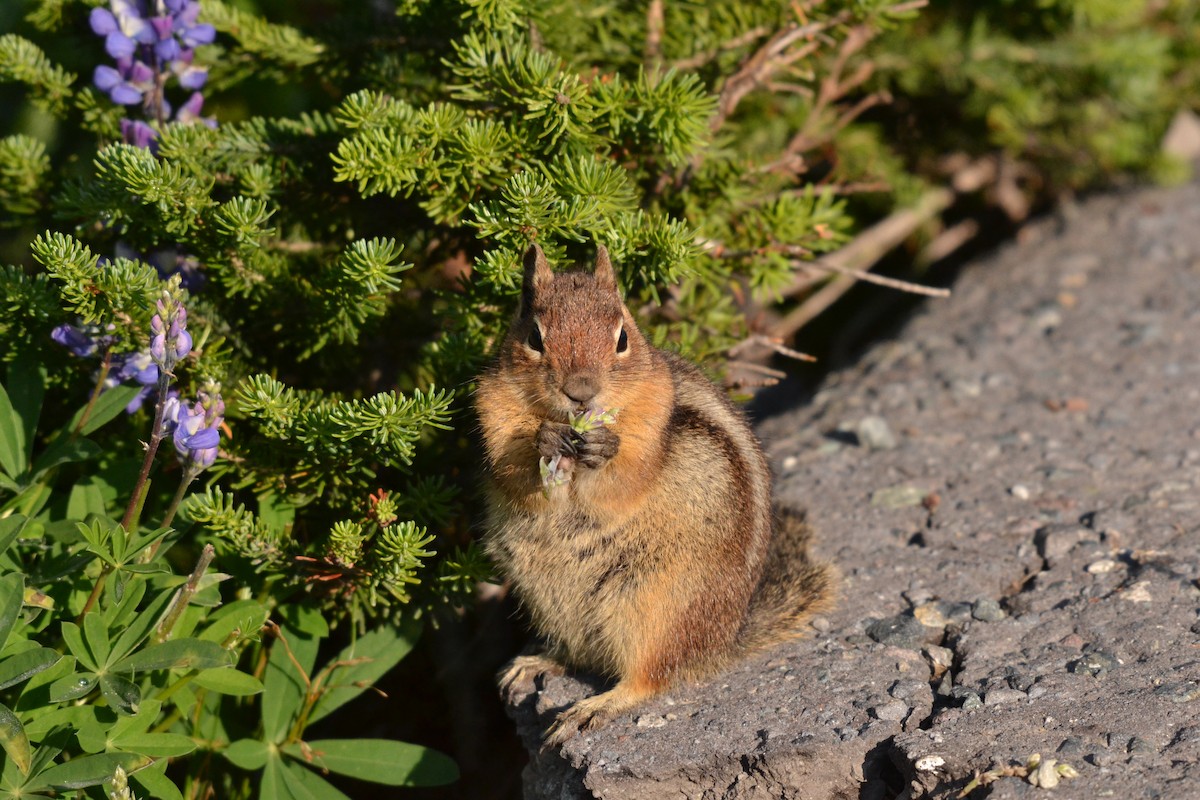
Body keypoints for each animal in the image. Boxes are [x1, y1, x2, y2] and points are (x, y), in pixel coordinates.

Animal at [475, 244, 836, 747]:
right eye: (535, 337)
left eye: (622, 337)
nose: (581, 392)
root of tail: (719, 644)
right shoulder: (495, 414)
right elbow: (515, 475)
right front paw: (545, 441)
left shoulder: (651, 428)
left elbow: (625, 482)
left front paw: (604, 449)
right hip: (555, 601)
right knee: (583, 654)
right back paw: (538, 660)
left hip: (655, 605)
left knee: (650, 678)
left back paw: (595, 707)